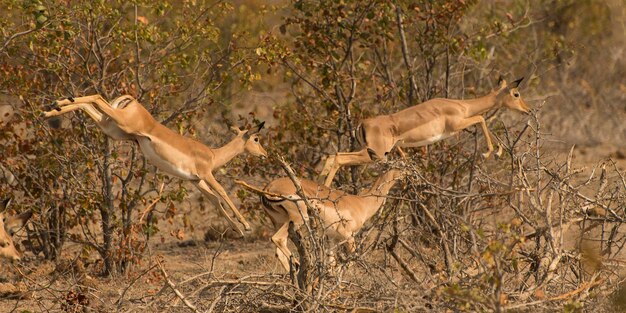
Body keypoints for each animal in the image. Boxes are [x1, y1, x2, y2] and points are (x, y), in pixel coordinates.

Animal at [41, 94, 266, 235]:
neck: (212, 154)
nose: (264, 154)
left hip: (110, 127)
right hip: (119, 122)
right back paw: (55, 104)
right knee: (96, 97)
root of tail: (133, 102)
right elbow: (223, 194)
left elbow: (216, 202)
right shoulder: (206, 174)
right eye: (256, 139)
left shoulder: (196, 181)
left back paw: (52, 108)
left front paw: (237, 229)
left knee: (88, 105)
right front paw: (246, 226)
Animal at [236, 168, 402, 270]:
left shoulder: (332, 240)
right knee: (278, 239)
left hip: (280, 222)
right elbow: (352, 259)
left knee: (278, 252)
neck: (362, 202)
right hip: (298, 219)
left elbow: (332, 263)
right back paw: (299, 265)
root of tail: (268, 188)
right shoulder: (348, 236)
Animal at [316, 77, 528, 185]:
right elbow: (481, 118)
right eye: (516, 94)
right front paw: (489, 152)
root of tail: (363, 123)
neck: (461, 106)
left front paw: (498, 151)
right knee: (338, 157)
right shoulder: (456, 125)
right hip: (375, 154)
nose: (528, 110)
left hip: (371, 152)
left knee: (332, 156)